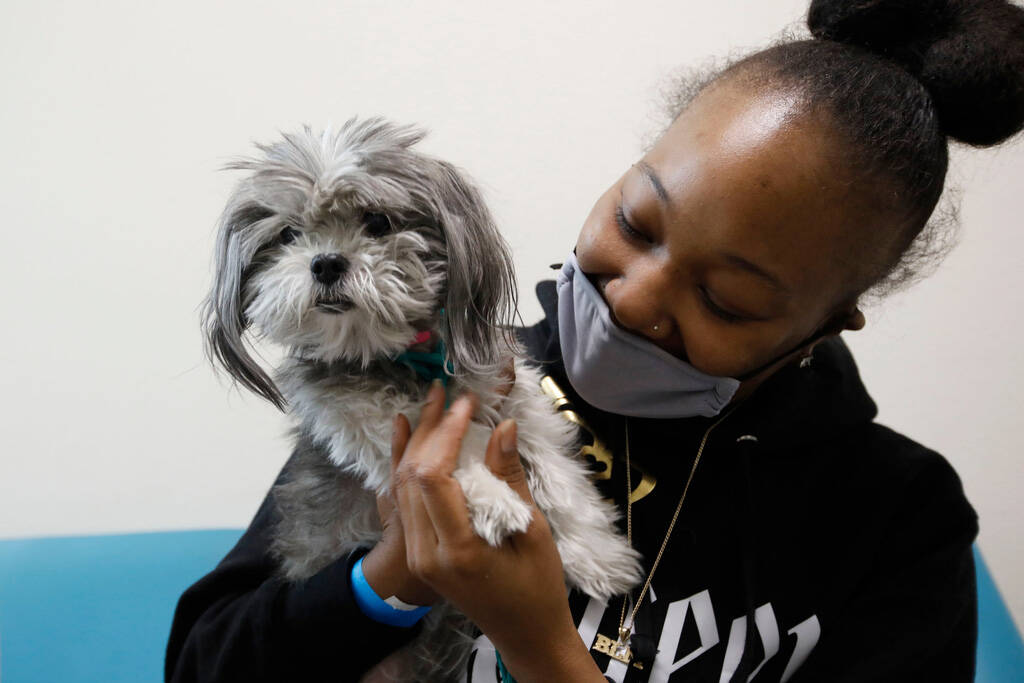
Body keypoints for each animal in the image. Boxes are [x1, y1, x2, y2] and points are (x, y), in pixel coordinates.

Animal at [199, 117, 638, 679]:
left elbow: (561, 477)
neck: (403, 357)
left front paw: (598, 553)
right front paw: (496, 500)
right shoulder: (368, 421)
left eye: (377, 221)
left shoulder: (517, 399)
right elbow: (453, 452)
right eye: (288, 235)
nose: (325, 263)